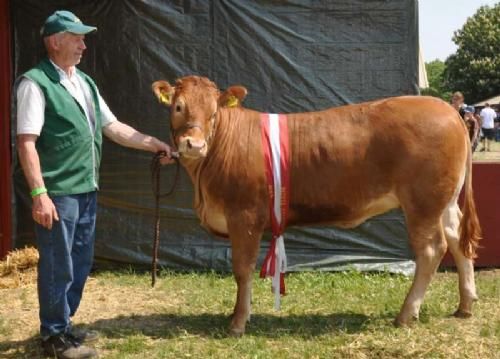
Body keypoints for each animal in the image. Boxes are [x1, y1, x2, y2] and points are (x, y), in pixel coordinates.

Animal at [151, 76, 480, 338]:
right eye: (178, 107)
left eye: (214, 111)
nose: (194, 145)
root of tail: (448, 110)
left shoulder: (243, 216)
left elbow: (242, 269)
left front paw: (238, 323)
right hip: (444, 202)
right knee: (456, 239)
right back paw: (465, 305)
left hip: (423, 203)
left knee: (432, 249)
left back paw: (406, 314)